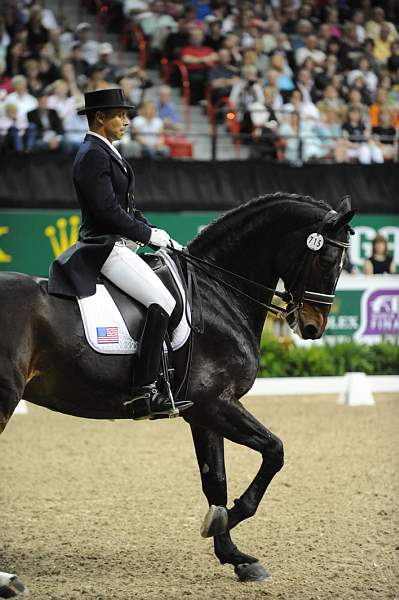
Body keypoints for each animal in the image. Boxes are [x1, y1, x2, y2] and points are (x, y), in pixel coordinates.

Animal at [1, 192, 354, 592]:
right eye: (328, 260)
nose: (313, 327)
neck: (218, 292)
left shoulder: (204, 414)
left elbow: (215, 481)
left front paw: (235, 556)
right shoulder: (214, 404)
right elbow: (274, 451)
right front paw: (225, 520)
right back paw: (8, 580)